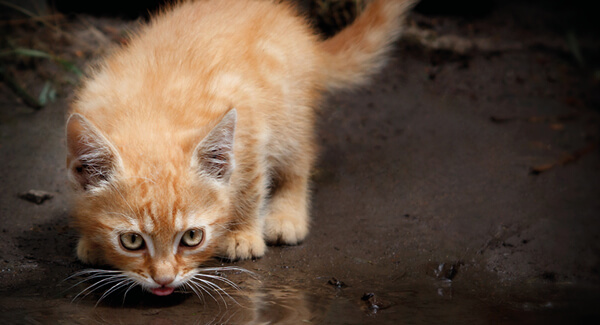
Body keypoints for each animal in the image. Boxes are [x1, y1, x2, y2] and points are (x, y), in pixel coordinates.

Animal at [65, 0, 414, 294]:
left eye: (192, 237)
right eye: (132, 241)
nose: (164, 280)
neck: (153, 114)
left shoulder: (250, 125)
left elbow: (250, 188)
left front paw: (242, 234)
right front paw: (93, 243)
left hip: (289, 115)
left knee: (299, 160)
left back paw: (287, 215)